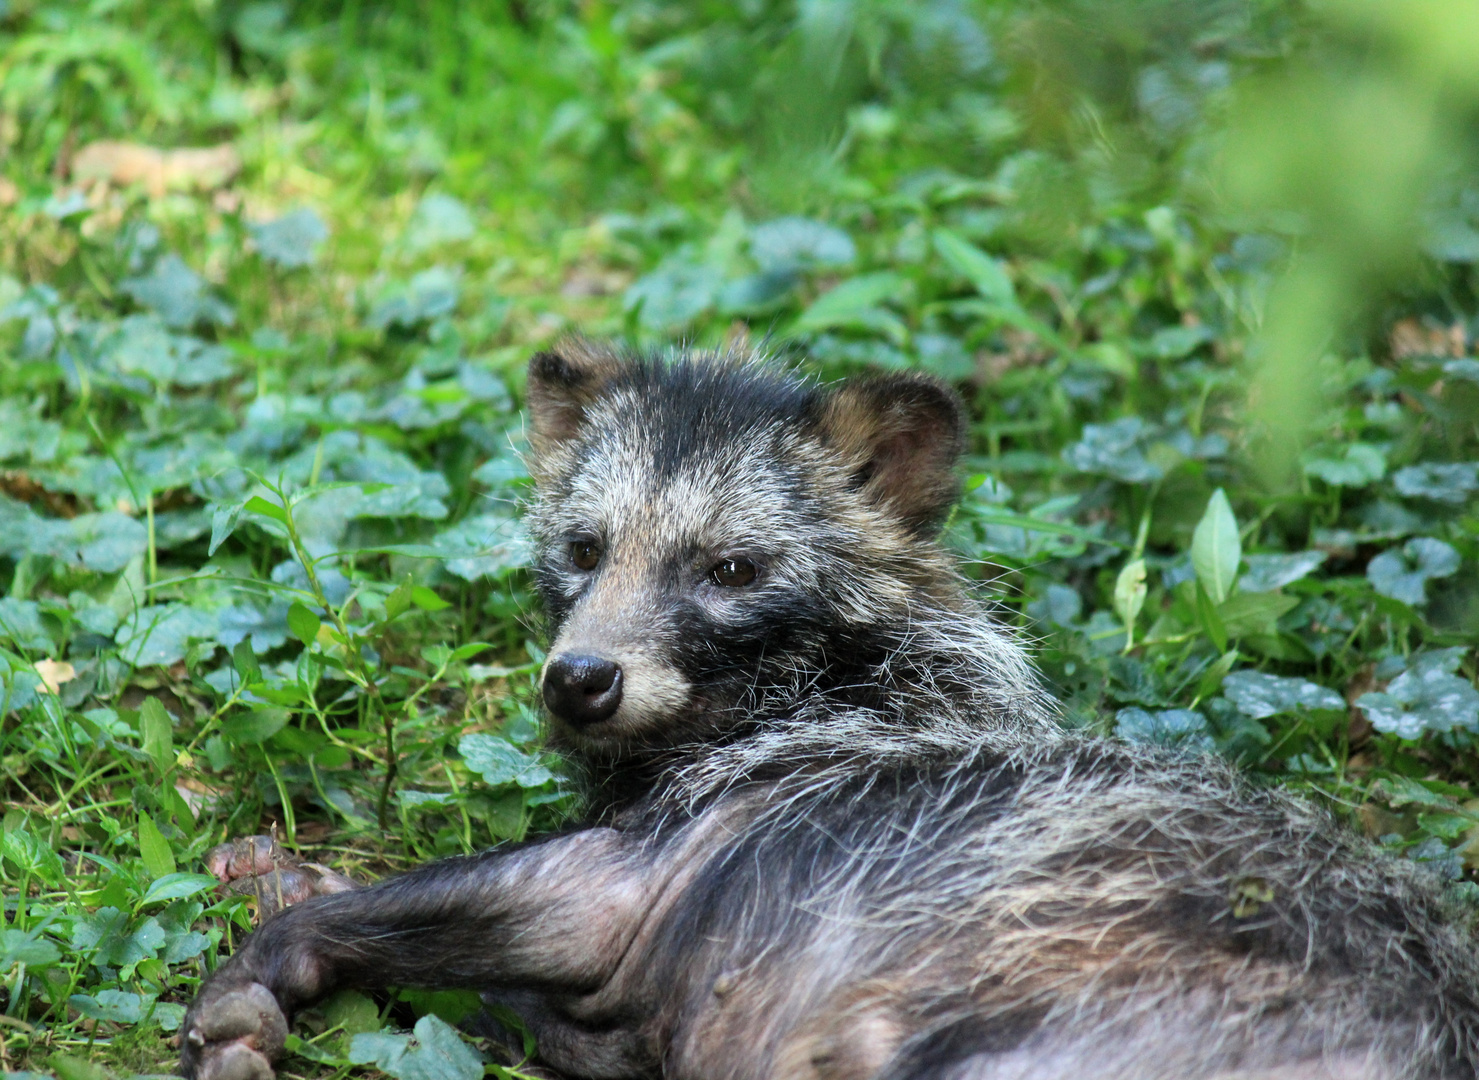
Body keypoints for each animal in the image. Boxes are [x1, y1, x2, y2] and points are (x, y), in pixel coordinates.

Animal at [181, 343, 1479, 1077]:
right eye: (584, 550)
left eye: (730, 570)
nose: (579, 680)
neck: (835, 695)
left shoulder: (638, 873)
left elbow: (357, 919)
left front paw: (250, 989)